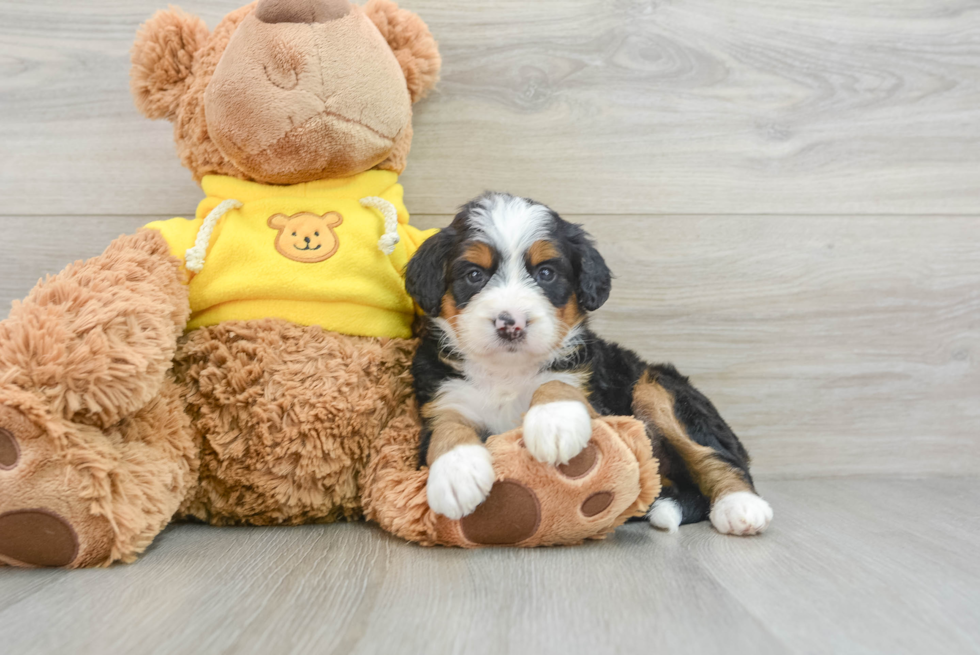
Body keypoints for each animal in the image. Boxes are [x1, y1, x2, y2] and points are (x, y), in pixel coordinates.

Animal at [406, 192, 772, 536]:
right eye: (474, 275)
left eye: (546, 273)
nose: (511, 324)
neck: (507, 371)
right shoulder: (441, 396)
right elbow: (448, 426)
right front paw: (457, 473)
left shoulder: (599, 400)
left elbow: (556, 381)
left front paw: (554, 423)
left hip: (657, 387)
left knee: (720, 455)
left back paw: (741, 506)